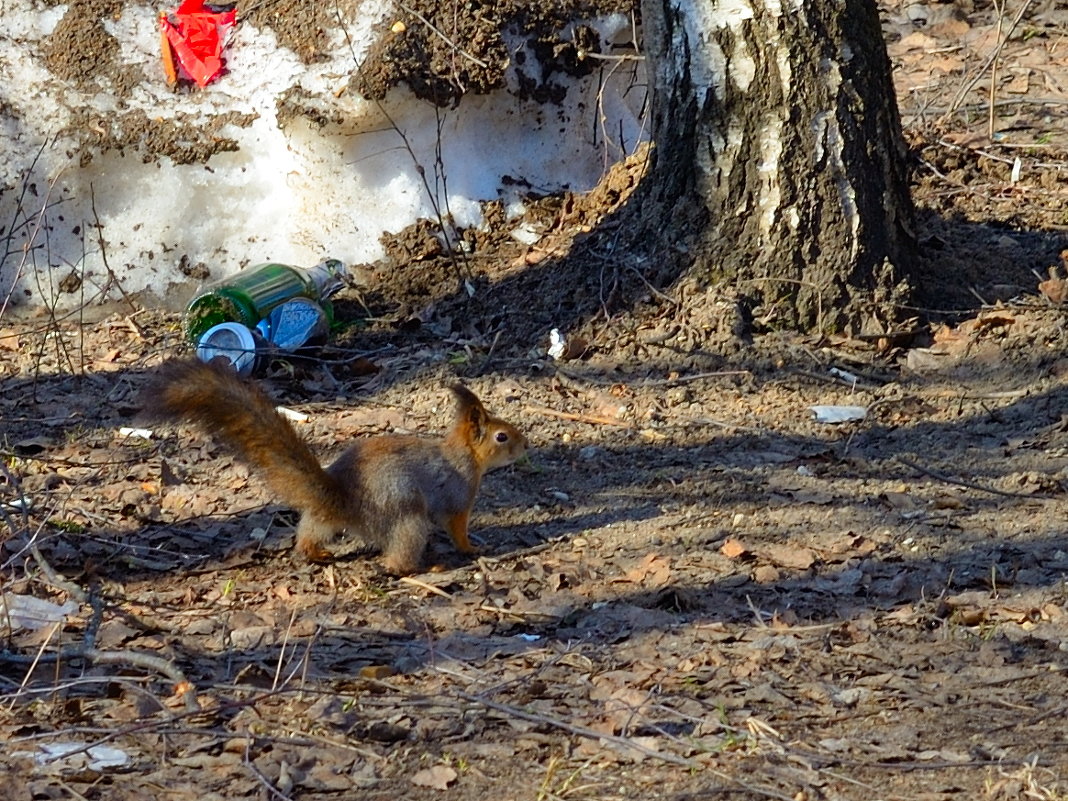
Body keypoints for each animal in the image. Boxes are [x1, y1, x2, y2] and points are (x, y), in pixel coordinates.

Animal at [142, 360, 525, 572]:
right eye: (502, 436)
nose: (526, 445)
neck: (463, 456)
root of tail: (344, 498)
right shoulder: (458, 496)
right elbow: (457, 527)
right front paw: (472, 549)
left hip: (322, 520)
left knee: (308, 534)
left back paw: (316, 553)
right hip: (406, 516)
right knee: (398, 555)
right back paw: (421, 567)